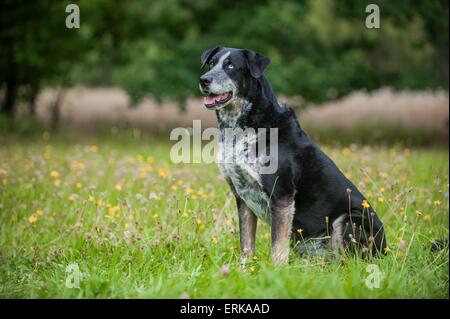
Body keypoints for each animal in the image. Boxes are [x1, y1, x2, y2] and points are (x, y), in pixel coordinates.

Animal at [200, 46, 386, 266]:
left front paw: (275, 271)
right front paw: (243, 270)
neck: (239, 129)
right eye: (211, 63)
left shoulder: (281, 195)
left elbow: (277, 247)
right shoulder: (242, 195)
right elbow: (246, 244)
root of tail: (386, 251)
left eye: (230, 66)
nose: (203, 80)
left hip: (349, 219)